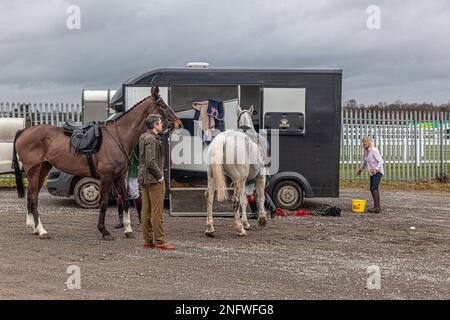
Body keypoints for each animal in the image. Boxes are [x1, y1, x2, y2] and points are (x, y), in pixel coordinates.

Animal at [10, 87, 180, 240]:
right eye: (162, 105)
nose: (178, 123)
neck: (118, 137)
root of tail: (23, 131)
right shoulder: (106, 177)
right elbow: (103, 203)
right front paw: (104, 231)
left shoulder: (118, 177)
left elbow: (125, 200)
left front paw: (128, 229)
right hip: (34, 171)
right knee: (33, 198)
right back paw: (41, 230)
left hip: (43, 169)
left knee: (32, 197)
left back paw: (34, 227)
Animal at [206, 106, 268, 236]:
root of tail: (223, 139)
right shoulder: (260, 175)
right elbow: (260, 196)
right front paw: (262, 219)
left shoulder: (244, 180)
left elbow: (245, 200)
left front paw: (246, 223)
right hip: (239, 180)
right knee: (235, 201)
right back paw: (239, 229)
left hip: (212, 177)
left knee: (209, 198)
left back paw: (210, 228)